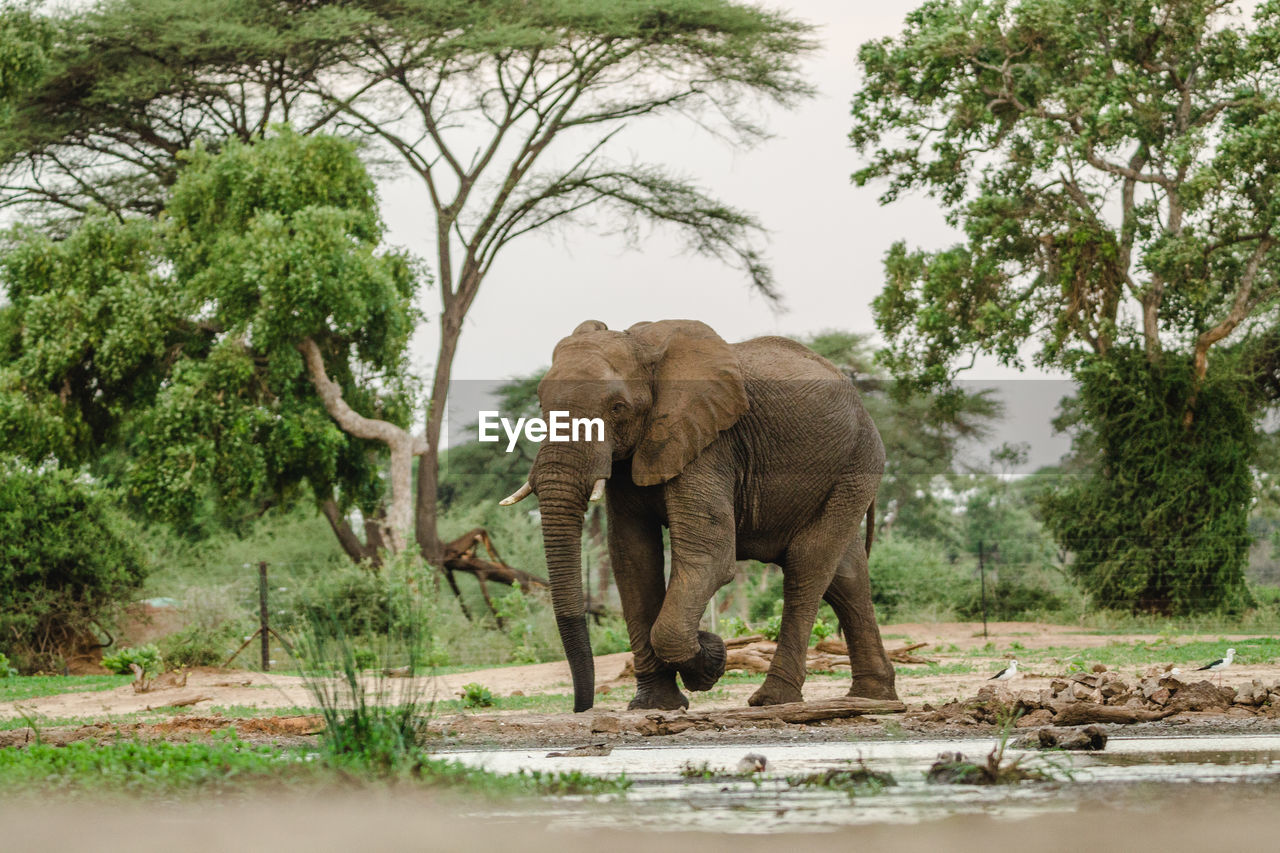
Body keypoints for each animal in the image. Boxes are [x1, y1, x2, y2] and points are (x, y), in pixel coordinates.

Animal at [494, 315, 896, 706]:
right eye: (541, 406)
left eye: (617, 408)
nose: (582, 706)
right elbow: (633, 559)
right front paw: (655, 704)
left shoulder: (710, 443)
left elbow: (710, 557)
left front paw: (711, 660)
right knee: (846, 576)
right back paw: (873, 696)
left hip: (858, 464)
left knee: (807, 564)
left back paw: (773, 699)